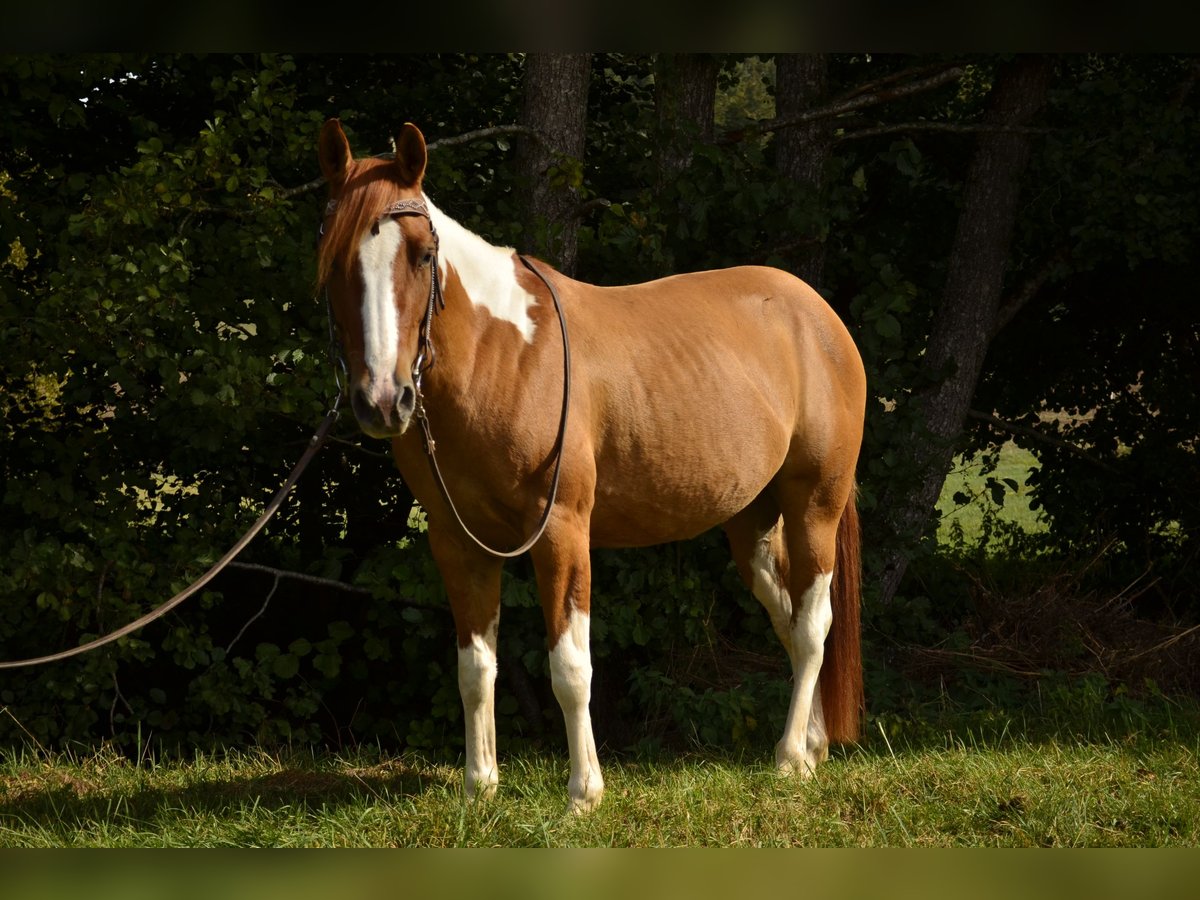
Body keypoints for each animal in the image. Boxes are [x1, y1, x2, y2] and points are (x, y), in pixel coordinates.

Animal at [315, 118, 867, 813]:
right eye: (335, 259)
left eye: (420, 255)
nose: (384, 400)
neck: (503, 356)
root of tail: (819, 316)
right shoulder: (456, 542)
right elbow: (475, 668)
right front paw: (479, 786)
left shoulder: (562, 531)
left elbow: (570, 667)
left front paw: (584, 791)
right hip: (754, 528)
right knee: (790, 621)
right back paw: (813, 744)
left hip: (815, 505)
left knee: (814, 624)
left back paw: (791, 757)